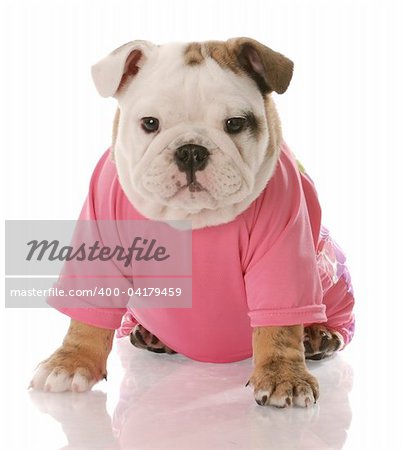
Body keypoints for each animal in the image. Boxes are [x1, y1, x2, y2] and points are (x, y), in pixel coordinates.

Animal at [30, 38, 356, 408]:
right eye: (150, 123)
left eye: (235, 124)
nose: (190, 150)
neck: (191, 219)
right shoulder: (98, 235)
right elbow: (87, 316)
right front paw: (71, 362)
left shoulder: (284, 246)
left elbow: (280, 324)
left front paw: (282, 376)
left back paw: (318, 334)